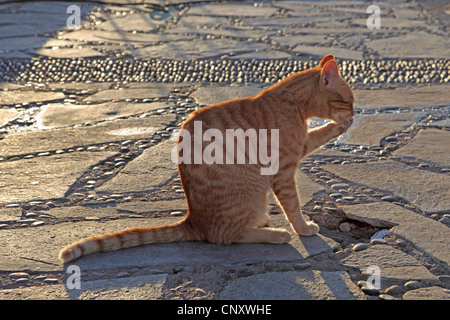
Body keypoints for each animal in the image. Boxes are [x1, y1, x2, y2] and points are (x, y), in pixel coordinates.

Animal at [59, 55, 354, 264]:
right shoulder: (284, 170)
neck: (292, 101)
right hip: (253, 190)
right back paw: (275, 234)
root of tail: (194, 221)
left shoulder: (301, 146)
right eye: (349, 100)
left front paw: (341, 127)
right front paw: (303, 228)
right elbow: (293, 207)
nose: (354, 112)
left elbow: (320, 134)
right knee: (225, 237)